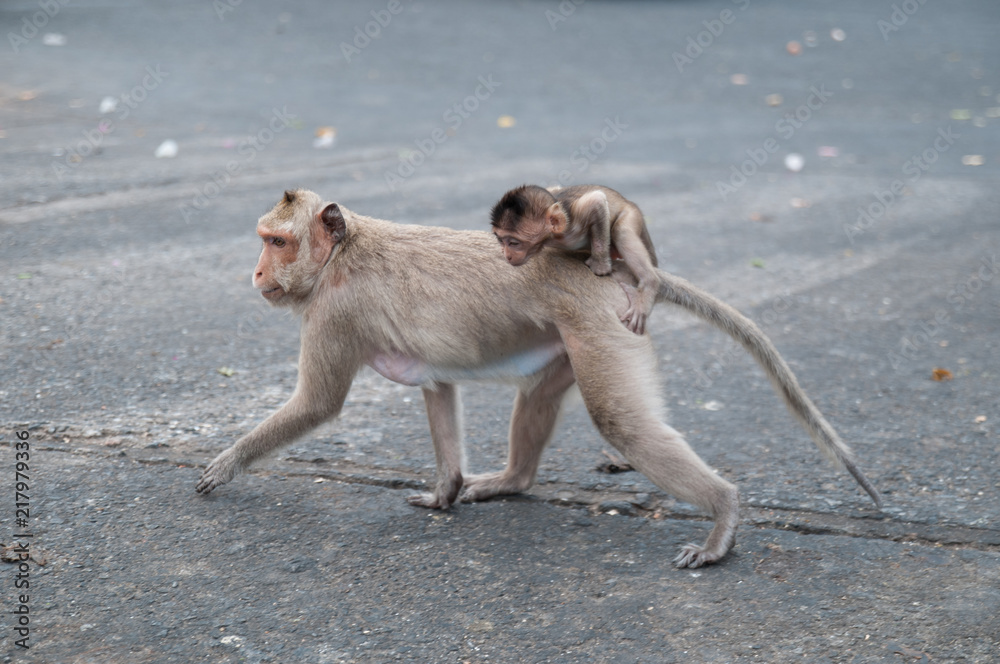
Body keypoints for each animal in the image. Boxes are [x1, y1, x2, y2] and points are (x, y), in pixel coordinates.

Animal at [490, 184, 659, 335]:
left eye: (513, 243)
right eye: (500, 240)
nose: (507, 255)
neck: (552, 237)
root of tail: (630, 203)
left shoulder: (573, 224)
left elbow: (596, 201)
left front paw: (600, 265)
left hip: (631, 214)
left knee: (621, 231)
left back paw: (650, 283)